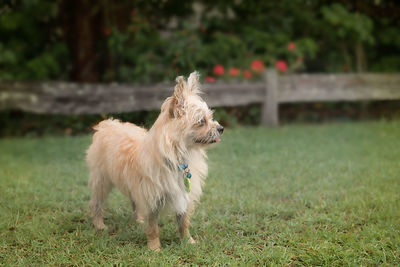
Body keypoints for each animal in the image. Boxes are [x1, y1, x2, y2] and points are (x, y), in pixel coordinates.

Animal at [86, 71, 223, 251]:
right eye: (201, 121)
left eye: (210, 117)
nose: (221, 128)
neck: (177, 157)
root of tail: (109, 123)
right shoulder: (151, 198)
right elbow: (153, 227)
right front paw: (155, 248)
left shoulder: (182, 196)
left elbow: (183, 222)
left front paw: (188, 241)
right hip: (101, 181)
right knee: (97, 203)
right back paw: (99, 224)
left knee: (134, 202)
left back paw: (138, 219)